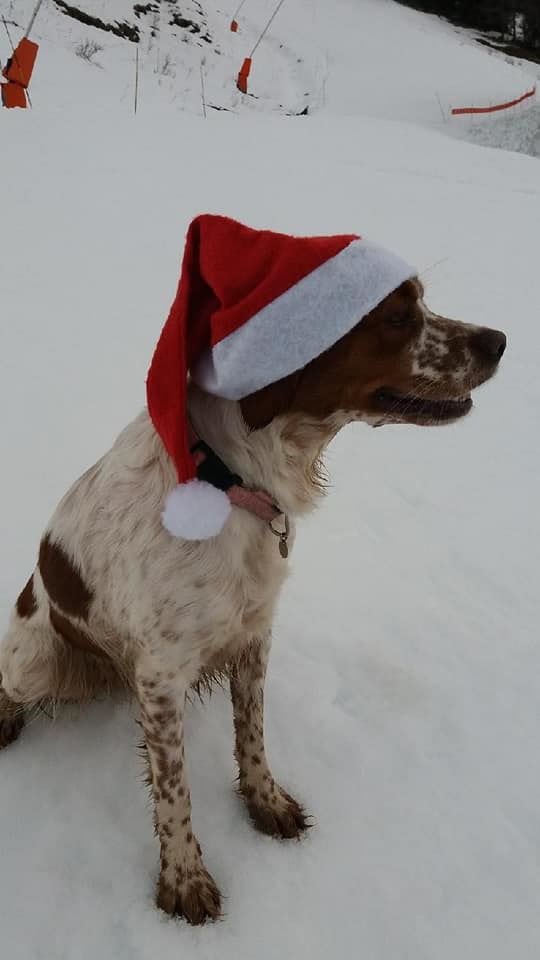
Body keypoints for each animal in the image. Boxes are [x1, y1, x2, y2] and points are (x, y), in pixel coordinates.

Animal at [0, 258, 506, 928]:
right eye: (397, 316)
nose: (500, 341)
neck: (230, 477)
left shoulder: (254, 635)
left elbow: (252, 735)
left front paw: (266, 801)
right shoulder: (160, 677)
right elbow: (174, 789)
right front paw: (184, 879)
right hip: (34, 657)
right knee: (9, 684)